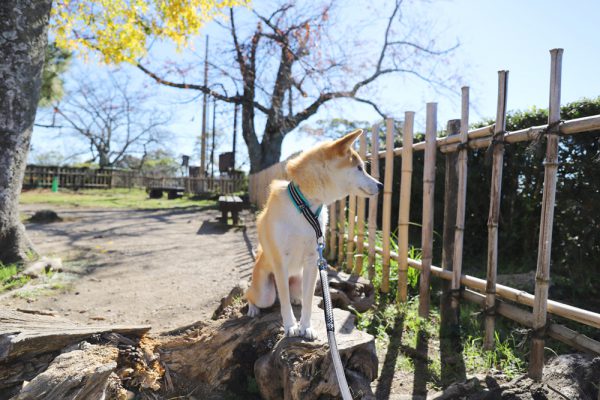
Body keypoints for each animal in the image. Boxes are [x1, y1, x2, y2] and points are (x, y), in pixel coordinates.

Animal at [245, 130, 382, 340]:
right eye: (359, 168)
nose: (381, 185)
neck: (305, 206)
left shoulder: (312, 261)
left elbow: (309, 301)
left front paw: (306, 327)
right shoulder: (280, 261)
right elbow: (284, 302)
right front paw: (290, 326)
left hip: (299, 279)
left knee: (296, 294)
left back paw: (296, 298)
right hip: (264, 293)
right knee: (251, 294)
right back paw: (252, 309)